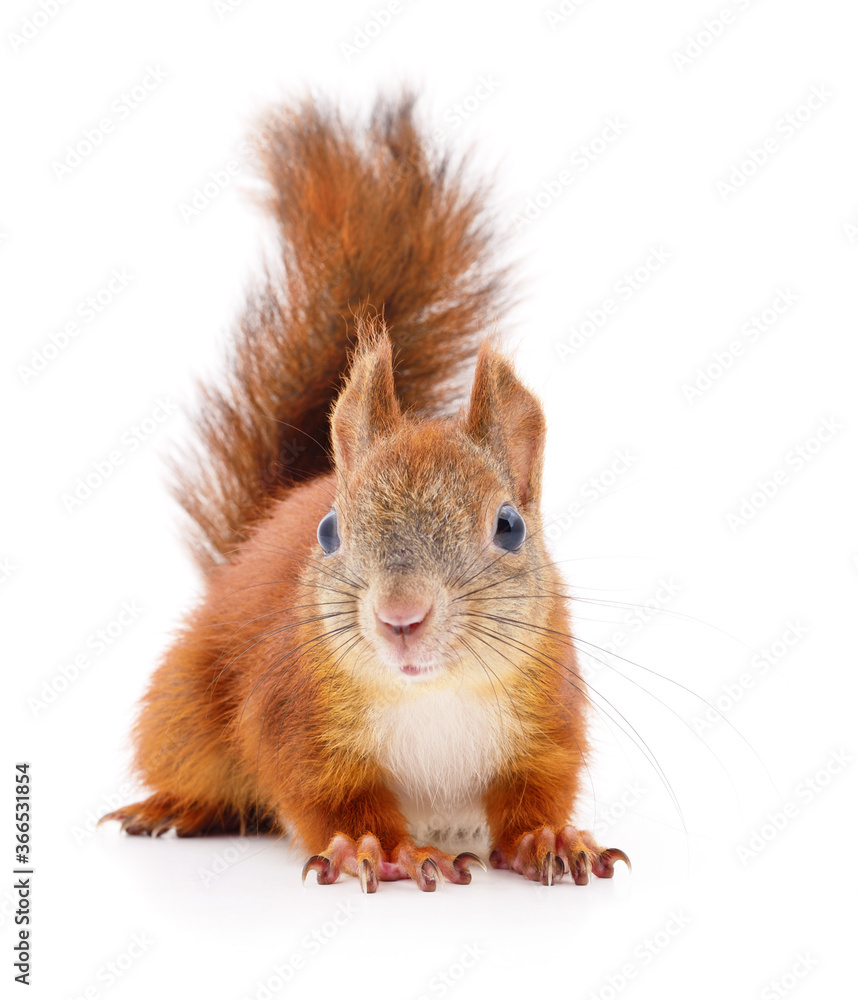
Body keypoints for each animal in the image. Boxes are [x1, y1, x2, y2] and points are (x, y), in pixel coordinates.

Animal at [102, 93, 629, 891]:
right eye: (330, 532)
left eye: (509, 526)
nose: (400, 617)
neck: (431, 692)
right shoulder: (294, 713)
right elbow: (329, 795)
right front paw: (383, 848)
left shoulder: (547, 715)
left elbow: (533, 793)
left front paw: (552, 838)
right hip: (185, 709)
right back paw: (175, 808)